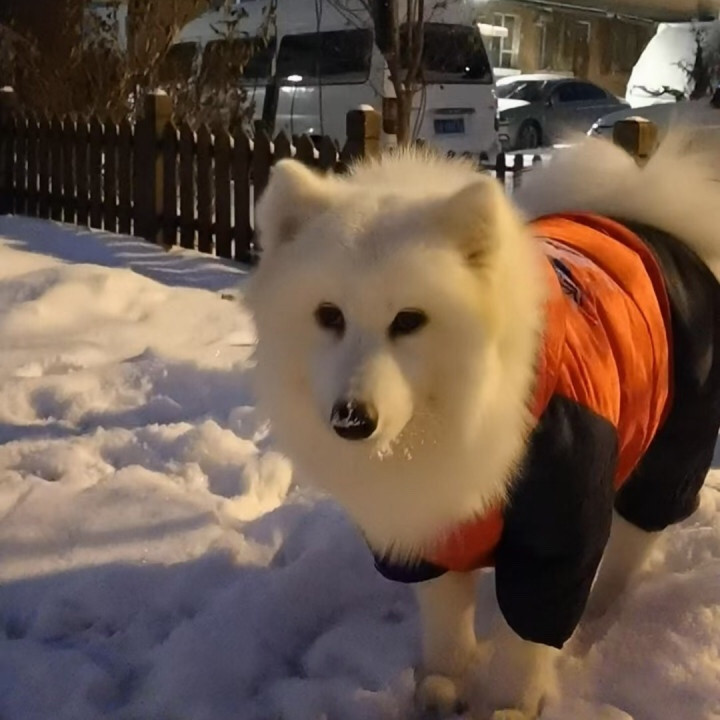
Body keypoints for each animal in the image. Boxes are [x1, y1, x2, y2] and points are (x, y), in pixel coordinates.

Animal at [244, 133, 720, 719]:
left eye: (409, 320)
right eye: (328, 315)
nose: (352, 418)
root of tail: (647, 218)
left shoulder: (556, 537)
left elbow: (527, 641)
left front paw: (512, 704)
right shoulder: (427, 533)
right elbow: (446, 621)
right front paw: (443, 684)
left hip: (669, 454)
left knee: (632, 546)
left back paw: (599, 618)